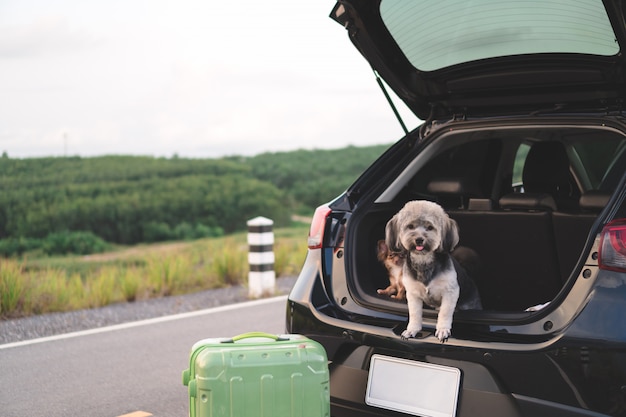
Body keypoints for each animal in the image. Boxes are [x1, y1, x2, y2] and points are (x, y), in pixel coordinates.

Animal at [382, 199, 480, 342]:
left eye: (430, 227)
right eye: (410, 226)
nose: (419, 239)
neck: (424, 260)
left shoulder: (450, 292)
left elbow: (445, 312)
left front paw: (443, 330)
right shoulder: (413, 294)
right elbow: (415, 313)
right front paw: (412, 329)